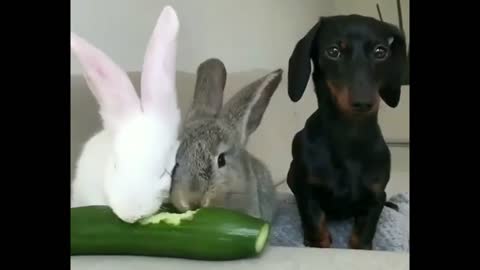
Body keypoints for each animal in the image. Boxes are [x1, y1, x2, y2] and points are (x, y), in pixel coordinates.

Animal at [286, 14, 406, 249]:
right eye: (333, 51)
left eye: (380, 51)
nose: (363, 102)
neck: (349, 136)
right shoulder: (307, 193)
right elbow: (317, 229)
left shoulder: (375, 199)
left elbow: (362, 238)